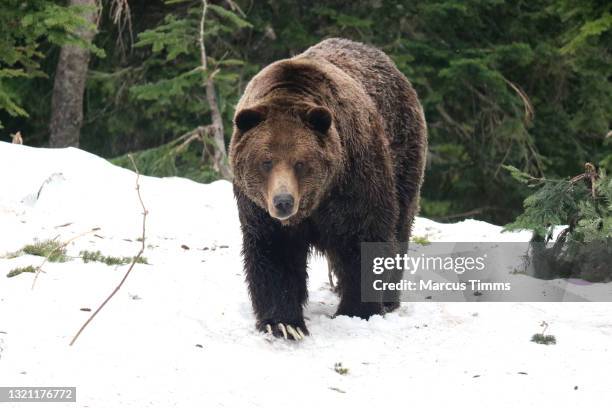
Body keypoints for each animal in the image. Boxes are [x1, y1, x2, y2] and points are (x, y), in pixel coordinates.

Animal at [228, 38, 426, 340]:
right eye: (266, 161)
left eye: (300, 162)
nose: (283, 201)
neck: (316, 201)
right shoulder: (258, 209)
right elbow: (274, 253)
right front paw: (284, 323)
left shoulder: (354, 181)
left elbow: (364, 240)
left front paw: (357, 310)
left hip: (403, 154)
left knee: (401, 224)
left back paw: (389, 299)